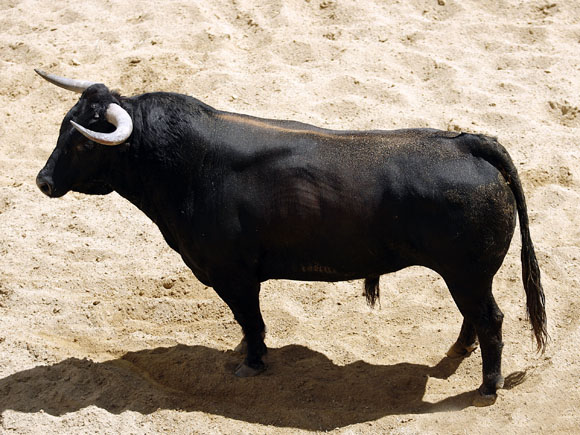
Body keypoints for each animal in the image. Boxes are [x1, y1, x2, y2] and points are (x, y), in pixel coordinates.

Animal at [36, 70, 548, 408]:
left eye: (80, 140)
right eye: (62, 126)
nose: (43, 181)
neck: (185, 166)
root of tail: (468, 142)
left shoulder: (234, 276)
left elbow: (251, 321)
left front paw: (252, 362)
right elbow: (251, 323)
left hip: (467, 274)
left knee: (491, 320)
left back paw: (487, 387)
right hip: (464, 276)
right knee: (475, 318)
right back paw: (460, 354)